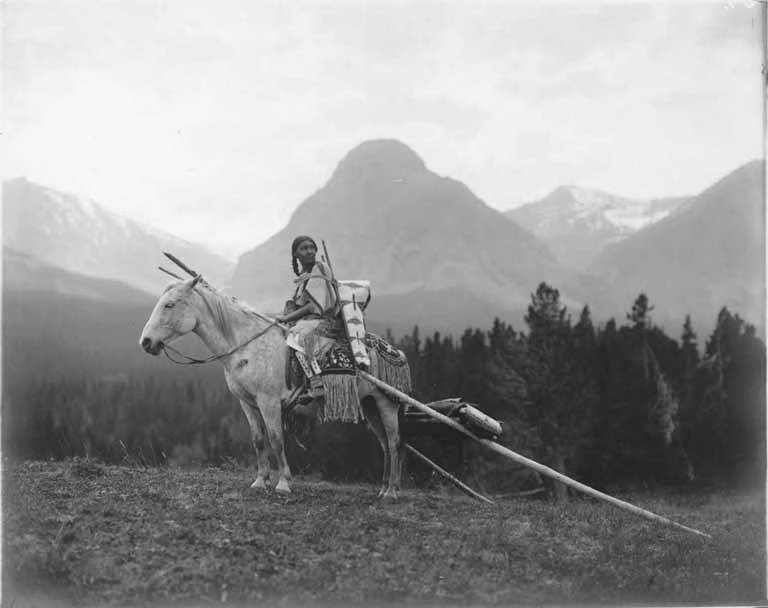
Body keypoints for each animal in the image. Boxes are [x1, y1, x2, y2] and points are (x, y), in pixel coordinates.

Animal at [139, 274, 408, 496]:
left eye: (170, 304)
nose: (146, 342)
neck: (247, 345)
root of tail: (395, 352)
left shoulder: (268, 402)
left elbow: (276, 438)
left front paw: (283, 483)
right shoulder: (247, 403)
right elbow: (259, 440)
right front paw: (260, 481)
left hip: (386, 403)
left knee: (394, 441)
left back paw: (392, 491)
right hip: (370, 404)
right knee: (384, 443)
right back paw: (383, 488)